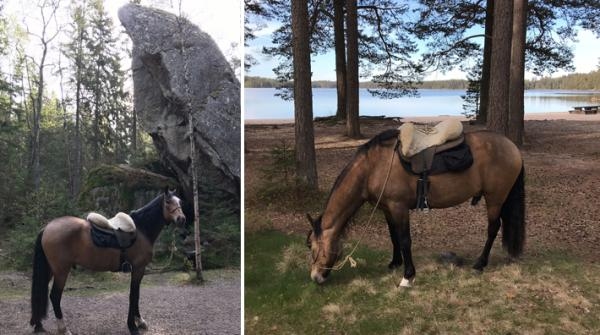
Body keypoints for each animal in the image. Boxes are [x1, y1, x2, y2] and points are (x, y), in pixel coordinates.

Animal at [29, 190, 185, 334]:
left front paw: (139, 321)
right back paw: (63, 329)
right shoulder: (138, 268)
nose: (181, 219)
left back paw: (38, 325)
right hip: (61, 271)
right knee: (55, 296)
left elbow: (136, 295)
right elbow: (133, 295)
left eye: (180, 202)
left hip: (51, 269)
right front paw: (133, 326)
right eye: (167, 202)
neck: (141, 229)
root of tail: (47, 227)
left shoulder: (139, 270)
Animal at [308, 130, 524, 288]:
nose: (315, 277)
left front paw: (407, 276)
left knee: (493, 229)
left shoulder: (399, 207)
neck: (374, 167)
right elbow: (394, 236)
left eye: (312, 247)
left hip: (495, 199)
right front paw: (395, 263)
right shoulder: (388, 209)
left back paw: (480, 264)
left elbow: (405, 240)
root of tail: (512, 146)